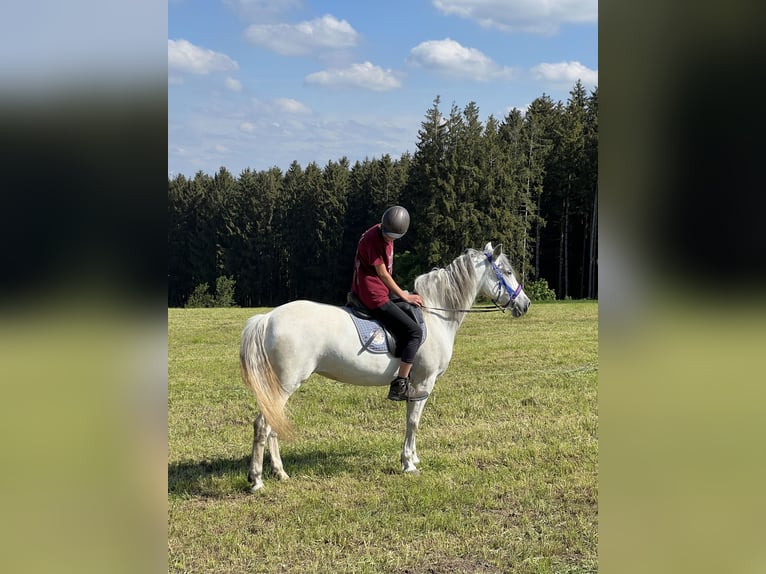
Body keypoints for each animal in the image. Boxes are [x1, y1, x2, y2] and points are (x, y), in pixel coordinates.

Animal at [243, 241, 532, 492]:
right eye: (507, 272)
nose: (525, 304)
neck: (437, 315)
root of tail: (267, 318)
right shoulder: (423, 382)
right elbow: (413, 421)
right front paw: (408, 464)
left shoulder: (415, 385)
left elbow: (411, 420)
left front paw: (413, 458)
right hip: (285, 385)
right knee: (263, 426)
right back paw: (257, 480)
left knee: (273, 426)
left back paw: (280, 473)